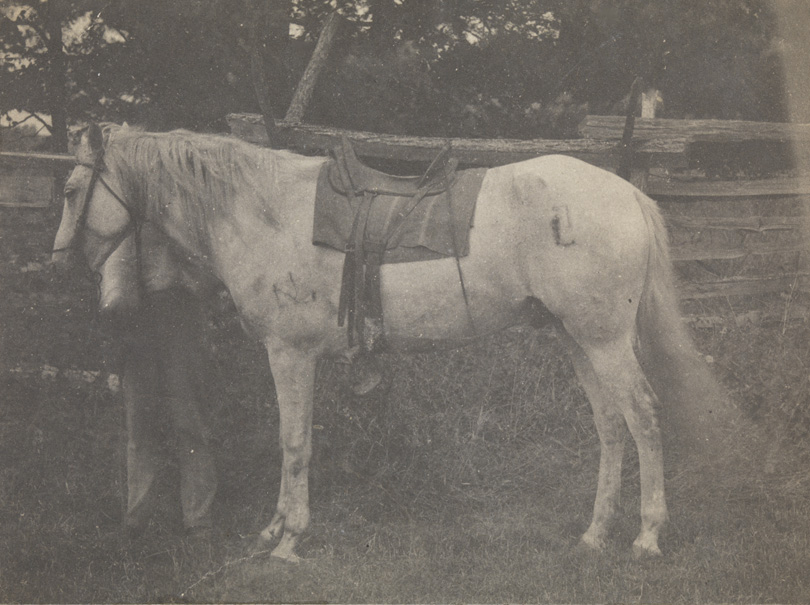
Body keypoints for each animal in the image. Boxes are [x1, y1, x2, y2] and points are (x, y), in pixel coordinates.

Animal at [52, 122, 724, 562]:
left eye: (69, 192)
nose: (59, 263)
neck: (261, 210)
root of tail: (628, 193)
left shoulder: (290, 355)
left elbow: (293, 443)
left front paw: (289, 539)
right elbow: (291, 443)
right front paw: (274, 529)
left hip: (605, 340)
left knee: (643, 418)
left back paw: (646, 536)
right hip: (578, 339)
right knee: (611, 427)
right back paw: (595, 534)